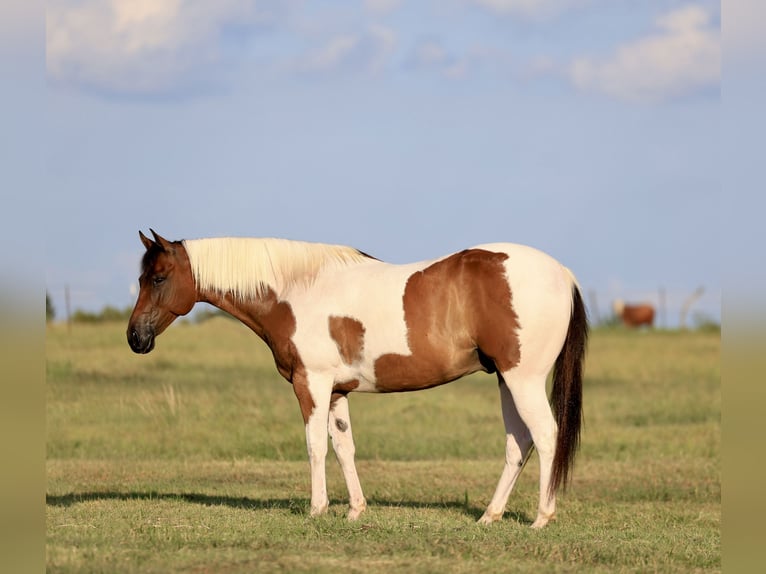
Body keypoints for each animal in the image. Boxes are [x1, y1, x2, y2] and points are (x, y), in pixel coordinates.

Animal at [127, 230, 588, 529]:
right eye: (141, 278)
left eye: (159, 278)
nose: (135, 337)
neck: (295, 290)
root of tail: (563, 273)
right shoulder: (336, 391)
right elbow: (343, 447)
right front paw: (354, 510)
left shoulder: (310, 384)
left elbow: (315, 446)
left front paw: (317, 509)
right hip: (506, 380)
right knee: (518, 443)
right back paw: (490, 517)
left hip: (523, 379)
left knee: (545, 436)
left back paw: (541, 519)